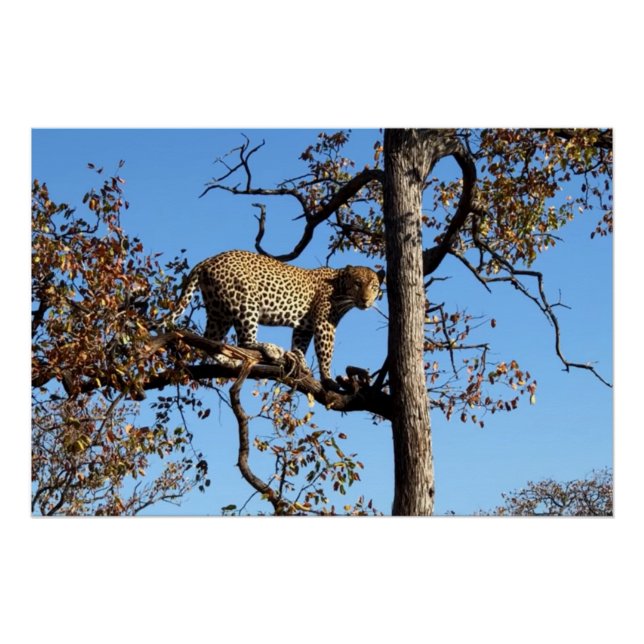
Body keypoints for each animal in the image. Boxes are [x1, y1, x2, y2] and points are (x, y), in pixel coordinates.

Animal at [160, 250, 382, 389]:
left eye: (374, 287)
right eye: (357, 283)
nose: (366, 300)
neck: (340, 287)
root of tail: (209, 259)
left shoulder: (305, 326)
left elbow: (300, 344)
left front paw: (301, 362)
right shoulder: (324, 324)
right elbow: (325, 352)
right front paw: (327, 379)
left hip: (219, 311)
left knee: (211, 340)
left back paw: (229, 361)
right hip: (245, 301)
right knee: (245, 340)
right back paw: (270, 349)